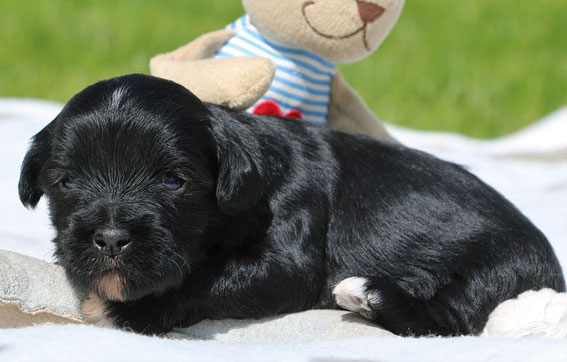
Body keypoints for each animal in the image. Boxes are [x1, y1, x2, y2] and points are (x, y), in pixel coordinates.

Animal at [20, 74, 564, 336]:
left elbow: (209, 280)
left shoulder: (289, 250)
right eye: (66, 181)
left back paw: (366, 294)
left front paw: (125, 312)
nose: (111, 239)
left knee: (452, 317)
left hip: (496, 267)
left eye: (173, 181)